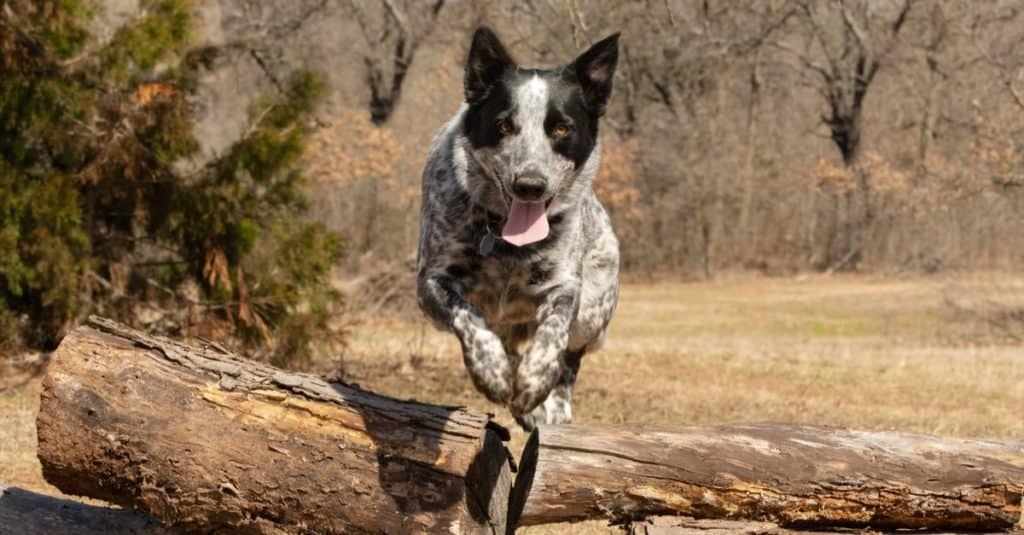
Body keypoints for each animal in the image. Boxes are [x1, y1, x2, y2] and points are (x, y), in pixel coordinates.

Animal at [415, 28, 622, 428]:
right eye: (504, 126)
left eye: (561, 128)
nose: (530, 185)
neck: (505, 244)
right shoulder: (431, 282)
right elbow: (469, 316)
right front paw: (493, 371)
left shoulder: (564, 287)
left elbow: (553, 333)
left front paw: (534, 382)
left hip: (594, 310)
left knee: (571, 359)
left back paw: (550, 406)